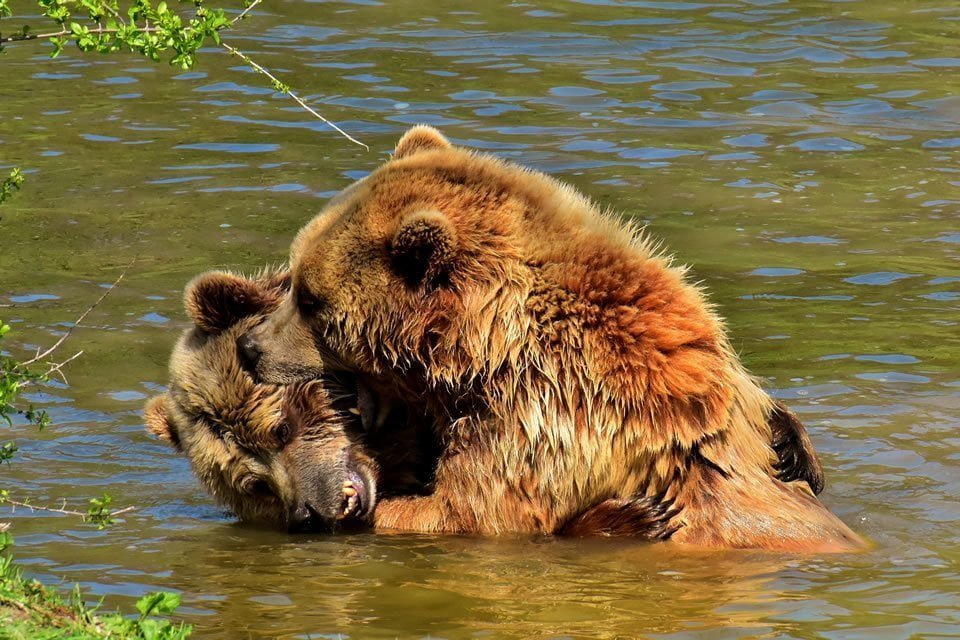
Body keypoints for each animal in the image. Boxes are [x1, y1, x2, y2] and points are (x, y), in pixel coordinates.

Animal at [238, 127, 864, 552]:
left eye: (310, 299)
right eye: (295, 279)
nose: (250, 348)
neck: (482, 348)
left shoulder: (544, 415)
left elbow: (471, 512)